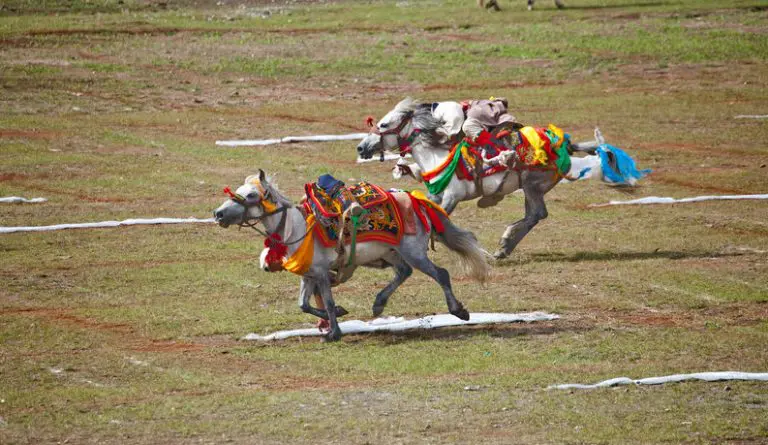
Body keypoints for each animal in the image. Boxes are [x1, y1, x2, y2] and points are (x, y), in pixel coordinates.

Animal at [213, 170, 490, 342]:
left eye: (250, 195)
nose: (218, 214)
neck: (299, 228)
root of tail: (416, 200)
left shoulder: (321, 273)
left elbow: (327, 301)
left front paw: (333, 332)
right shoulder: (308, 275)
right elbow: (304, 304)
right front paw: (337, 317)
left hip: (413, 252)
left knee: (440, 274)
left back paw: (459, 311)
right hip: (392, 253)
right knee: (404, 272)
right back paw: (378, 303)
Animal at [355, 98, 647, 260]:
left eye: (383, 125)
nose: (361, 147)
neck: (435, 153)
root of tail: (564, 145)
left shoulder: (452, 196)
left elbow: (439, 221)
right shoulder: (436, 194)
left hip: (532, 185)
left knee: (537, 214)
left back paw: (504, 243)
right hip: (532, 188)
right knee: (534, 215)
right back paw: (505, 247)